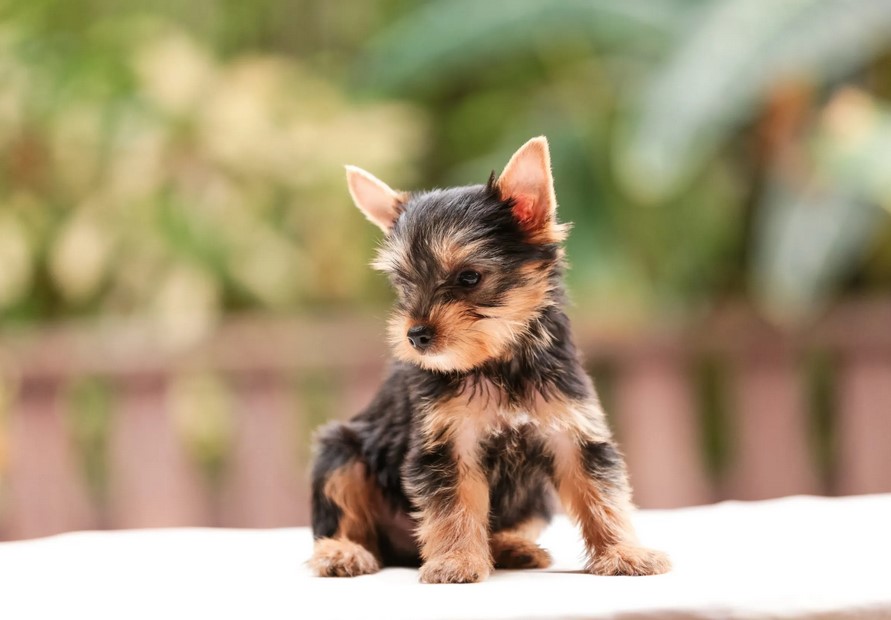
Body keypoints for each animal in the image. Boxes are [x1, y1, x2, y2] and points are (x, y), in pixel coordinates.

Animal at [306, 136, 668, 580]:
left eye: (469, 278)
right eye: (403, 283)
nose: (416, 335)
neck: (498, 361)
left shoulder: (572, 430)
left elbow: (600, 493)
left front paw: (624, 552)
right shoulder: (449, 442)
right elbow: (455, 505)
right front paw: (456, 560)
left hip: (535, 500)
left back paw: (511, 547)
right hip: (341, 451)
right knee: (344, 506)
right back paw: (342, 552)